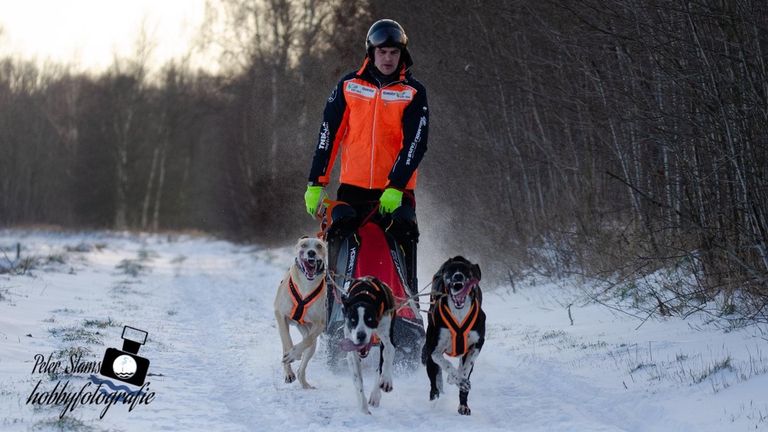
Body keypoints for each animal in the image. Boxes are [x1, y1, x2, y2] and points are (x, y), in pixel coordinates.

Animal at [272, 238, 328, 390]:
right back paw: (289, 373)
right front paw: (291, 354)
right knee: (285, 345)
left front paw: (295, 353)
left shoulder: (320, 324)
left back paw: (305, 384)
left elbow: (307, 340)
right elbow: (287, 340)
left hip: (310, 340)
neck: (305, 287)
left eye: (319, 246)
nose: (311, 252)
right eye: (304, 245)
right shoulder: (280, 314)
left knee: (303, 363)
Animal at [340, 276, 396, 416]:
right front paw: (363, 408)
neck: (364, 295)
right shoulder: (353, 351)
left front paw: (386, 381)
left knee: (380, 367)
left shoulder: (388, 340)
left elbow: (387, 358)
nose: (361, 335)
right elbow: (358, 381)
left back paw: (376, 395)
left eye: (369, 319)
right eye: (353, 320)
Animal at [420, 256, 486, 416]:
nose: (458, 277)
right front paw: (455, 378)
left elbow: (465, 369)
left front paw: (459, 382)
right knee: (434, 384)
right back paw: (434, 399)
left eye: (466, 271)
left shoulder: (476, 345)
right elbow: (446, 364)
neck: (459, 313)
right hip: (430, 358)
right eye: (450, 271)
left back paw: (462, 403)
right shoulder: (434, 351)